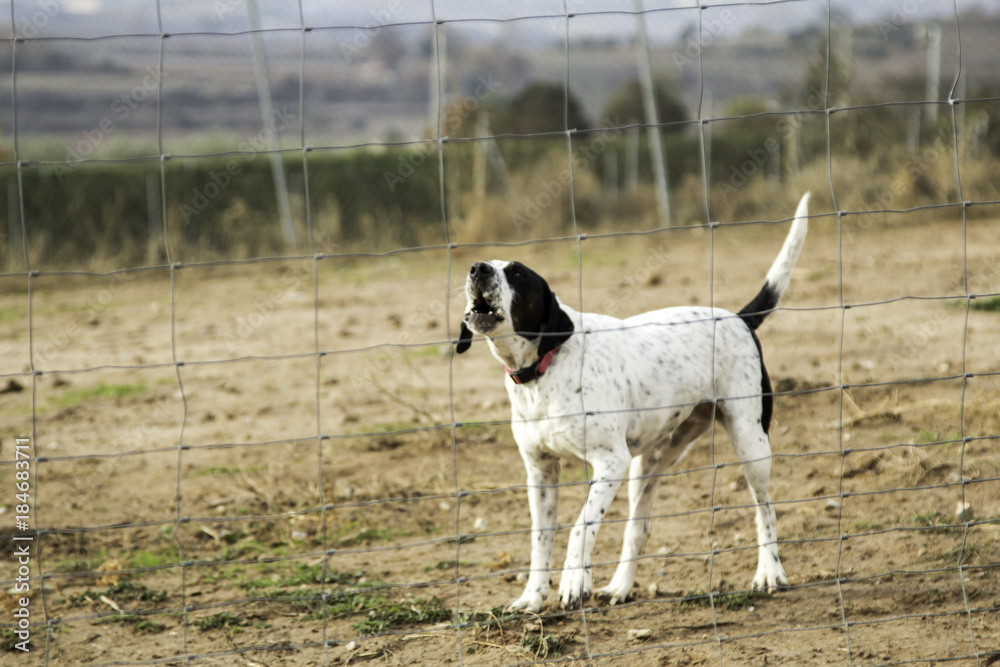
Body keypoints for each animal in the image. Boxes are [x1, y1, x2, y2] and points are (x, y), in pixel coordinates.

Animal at [458, 192, 808, 612]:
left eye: (517, 274)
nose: (476, 268)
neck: (542, 370)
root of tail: (737, 318)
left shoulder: (610, 462)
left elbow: (580, 528)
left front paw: (574, 582)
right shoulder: (540, 473)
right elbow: (540, 539)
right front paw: (533, 596)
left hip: (750, 444)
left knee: (764, 510)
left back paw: (770, 572)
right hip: (649, 463)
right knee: (638, 528)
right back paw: (621, 586)